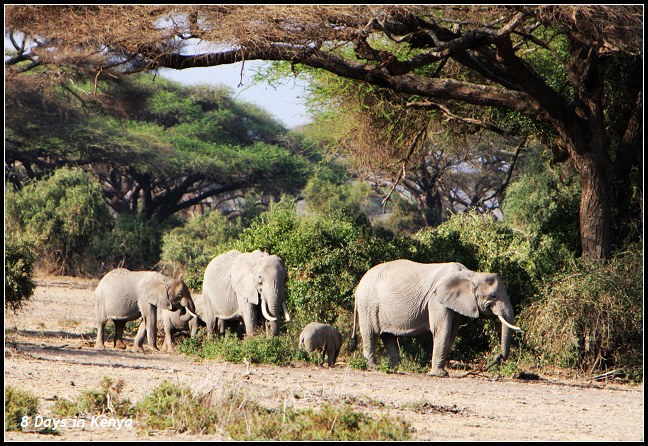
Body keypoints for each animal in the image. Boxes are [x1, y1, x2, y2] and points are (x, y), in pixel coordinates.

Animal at [352, 260, 524, 378]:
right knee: (370, 333)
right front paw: (439, 375)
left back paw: (396, 368)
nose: (497, 357)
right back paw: (374, 367)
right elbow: (442, 329)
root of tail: (358, 286)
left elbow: (452, 332)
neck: (471, 274)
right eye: (493, 296)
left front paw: (440, 372)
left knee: (388, 336)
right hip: (368, 303)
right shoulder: (436, 301)